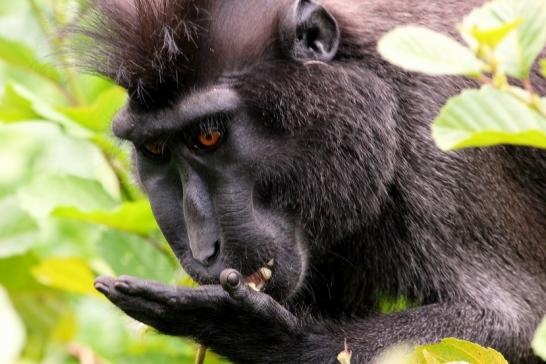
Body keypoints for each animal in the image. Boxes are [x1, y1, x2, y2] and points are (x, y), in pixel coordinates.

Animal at [78, 0, 544, 362]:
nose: (204, 249)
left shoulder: (439, 129)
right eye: (156, 149)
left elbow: (511, 322)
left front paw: (251, 331)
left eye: (208, 136)